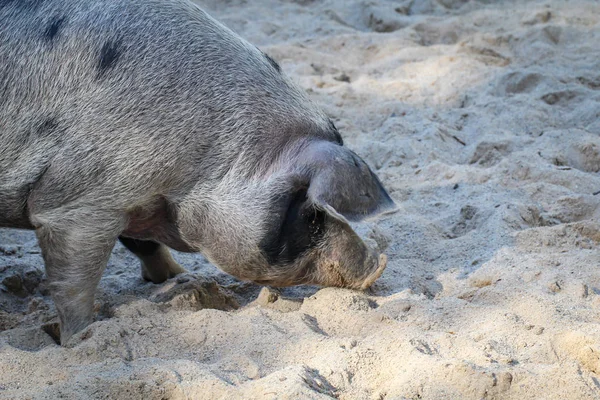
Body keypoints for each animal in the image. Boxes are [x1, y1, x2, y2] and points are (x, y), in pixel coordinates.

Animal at [1, 0, 398, 344]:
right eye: (312, 216)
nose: (376, 266)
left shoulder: (135, 198)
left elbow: (143, 243)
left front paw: (177, 278)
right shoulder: (75, 204)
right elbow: (74, 283)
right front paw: (80, 339)